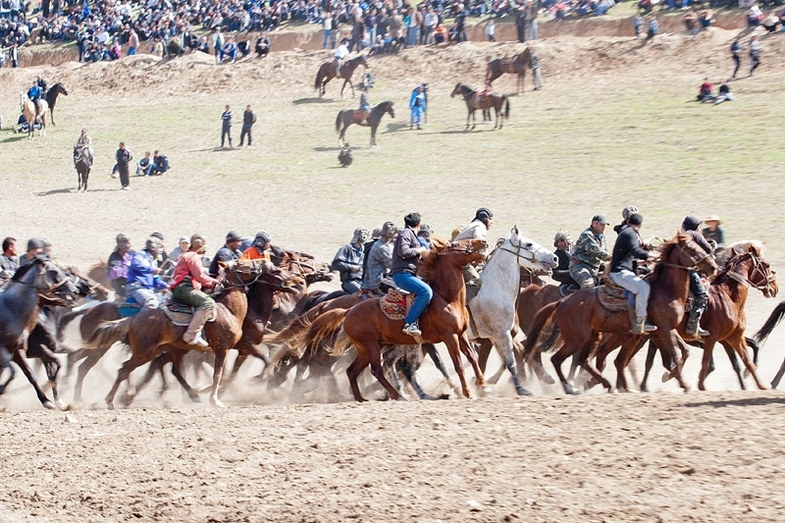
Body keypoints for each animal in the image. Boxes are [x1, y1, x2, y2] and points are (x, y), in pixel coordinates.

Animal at [0, 256, 77, 412]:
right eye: (54, 271)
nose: (74, 291)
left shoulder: (19, 351)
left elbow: (33, 374)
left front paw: (51, 401)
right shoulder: (6, 350)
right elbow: (14, 372)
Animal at [310, 239, 486, 404]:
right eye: (455, 244)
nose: (482, 242)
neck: (447, 299)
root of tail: (349, 311)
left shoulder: (461, 334)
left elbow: (472, 357)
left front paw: (483, 385)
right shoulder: (449, 336)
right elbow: (458, 364)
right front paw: (467, 393)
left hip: (366, 348)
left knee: (352, 371)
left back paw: (361, 398)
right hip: (371, 346)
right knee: (376, 370)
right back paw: (397, 395)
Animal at [466, 227, 556, 396]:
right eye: (529, 244)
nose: (554, 258)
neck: (495, 289)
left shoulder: (498, 336)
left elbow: (511, 358)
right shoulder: (499, 335)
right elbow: (507, 361)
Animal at [520, 235, 716, 396]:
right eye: (692, 249)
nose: (712, 266)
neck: (665, 291)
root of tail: (563, 302)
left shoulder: (654, 333)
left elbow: (681, 353)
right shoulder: (664, 330)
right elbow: (674, 356)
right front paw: (683, 384)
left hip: (594, 336)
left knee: (584, 360)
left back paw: (604, 384)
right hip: (577, 338)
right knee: (556, 358)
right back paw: (569, 387)